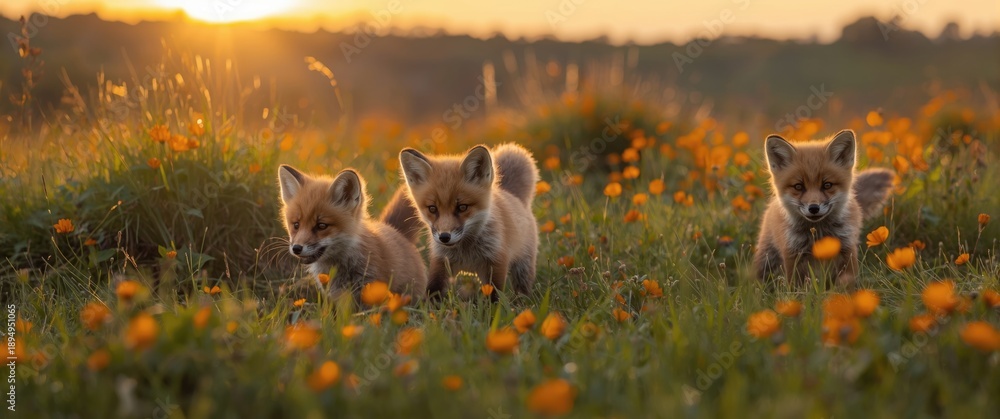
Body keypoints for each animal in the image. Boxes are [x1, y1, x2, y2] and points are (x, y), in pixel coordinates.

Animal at [398, 143, 540, 299]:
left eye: (462, 207)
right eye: (432, 208)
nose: (444, 237)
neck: (466, 252)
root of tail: (512, 194)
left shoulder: (496, 262)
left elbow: (494, 297)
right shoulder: (441, 263)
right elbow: (433, 292)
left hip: (523, 267)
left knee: (522, 290)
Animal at [753, 129, 894, 286]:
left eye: (827, 185)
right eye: (798, 186)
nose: (814, 208)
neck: (818, 232)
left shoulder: (847, 250)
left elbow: (848, 283)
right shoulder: (792, 254)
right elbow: (795, 287)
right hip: (767, 258)